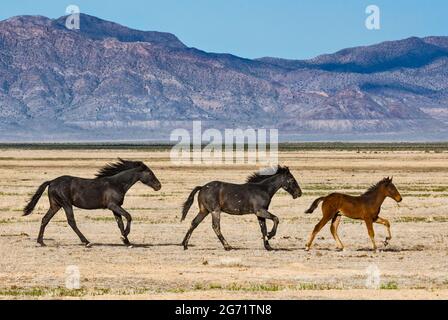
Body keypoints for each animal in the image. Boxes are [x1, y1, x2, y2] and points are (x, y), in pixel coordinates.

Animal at [23, 159, 161, 248]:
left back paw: (41, 242)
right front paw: (125, 235)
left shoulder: (114, 208)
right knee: (71, 222)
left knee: (45, 219)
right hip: (66, 204)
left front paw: (126, 241)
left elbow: (120, 223)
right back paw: (86, 242)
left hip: (56, 205)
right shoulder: (113, 205)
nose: (159, 186)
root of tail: (51, 182)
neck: (117, 184)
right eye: (149, 172)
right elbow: (128, 216)